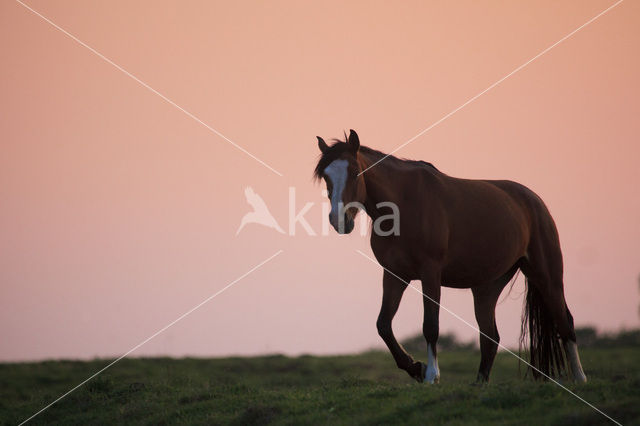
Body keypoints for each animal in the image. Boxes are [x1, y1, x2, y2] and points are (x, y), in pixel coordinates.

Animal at [312, 129, 588, 382]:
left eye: (355, 171)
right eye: (326, 176)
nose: (338, 219)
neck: (403, 204)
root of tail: (534, 201)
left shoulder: (430, 272)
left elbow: (430, 325)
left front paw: (431, 374)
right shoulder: (395, 274)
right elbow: (383, 325)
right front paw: (416, 367)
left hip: (546, 274)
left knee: (565, 322)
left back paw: (579, 379)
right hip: (487, 287)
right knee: (490, 337)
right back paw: (479, 385)